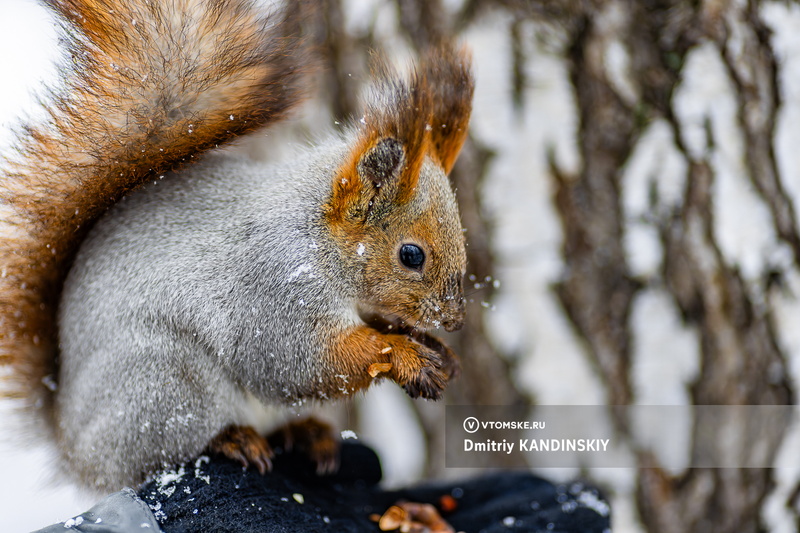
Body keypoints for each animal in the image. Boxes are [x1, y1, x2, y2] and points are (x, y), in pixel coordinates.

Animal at [0, 0, 476, 490]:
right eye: (411, 255)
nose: (454, 319)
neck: (319, 238)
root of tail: (73, 447)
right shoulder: (275, 292)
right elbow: (301, 362)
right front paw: (404, 356)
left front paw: (433, 347)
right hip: (163, 384)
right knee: (160, 450)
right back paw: (232, 439)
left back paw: (307, 433)